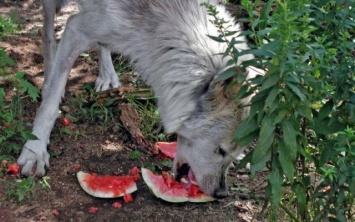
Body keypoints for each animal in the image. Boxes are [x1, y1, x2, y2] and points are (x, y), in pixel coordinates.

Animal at [17, 0, 262, 198]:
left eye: (235, 156)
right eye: (221, 151)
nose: (222, 194)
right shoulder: (76, 29)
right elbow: (49, 106)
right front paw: (34, 150)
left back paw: (107, 75)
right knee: (47, 33)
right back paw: (49, 75)